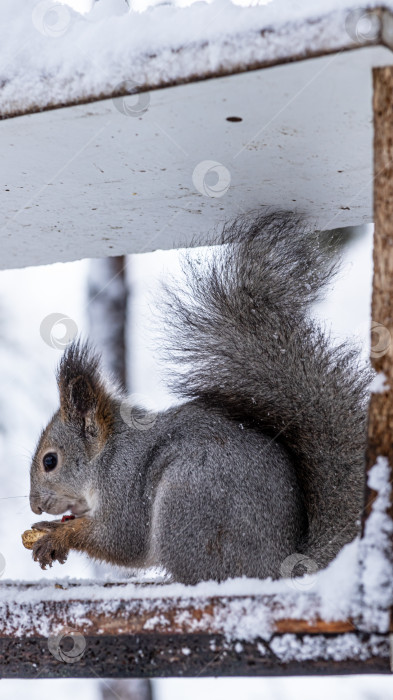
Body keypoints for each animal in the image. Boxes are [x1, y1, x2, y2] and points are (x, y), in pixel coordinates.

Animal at [29, 211, 370, 584]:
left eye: (50, 461)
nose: (34, 505)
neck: (107, 454)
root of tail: (280, 567)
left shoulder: (123, 484)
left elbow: (121, 540)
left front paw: (57, 534)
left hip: (186, 505)